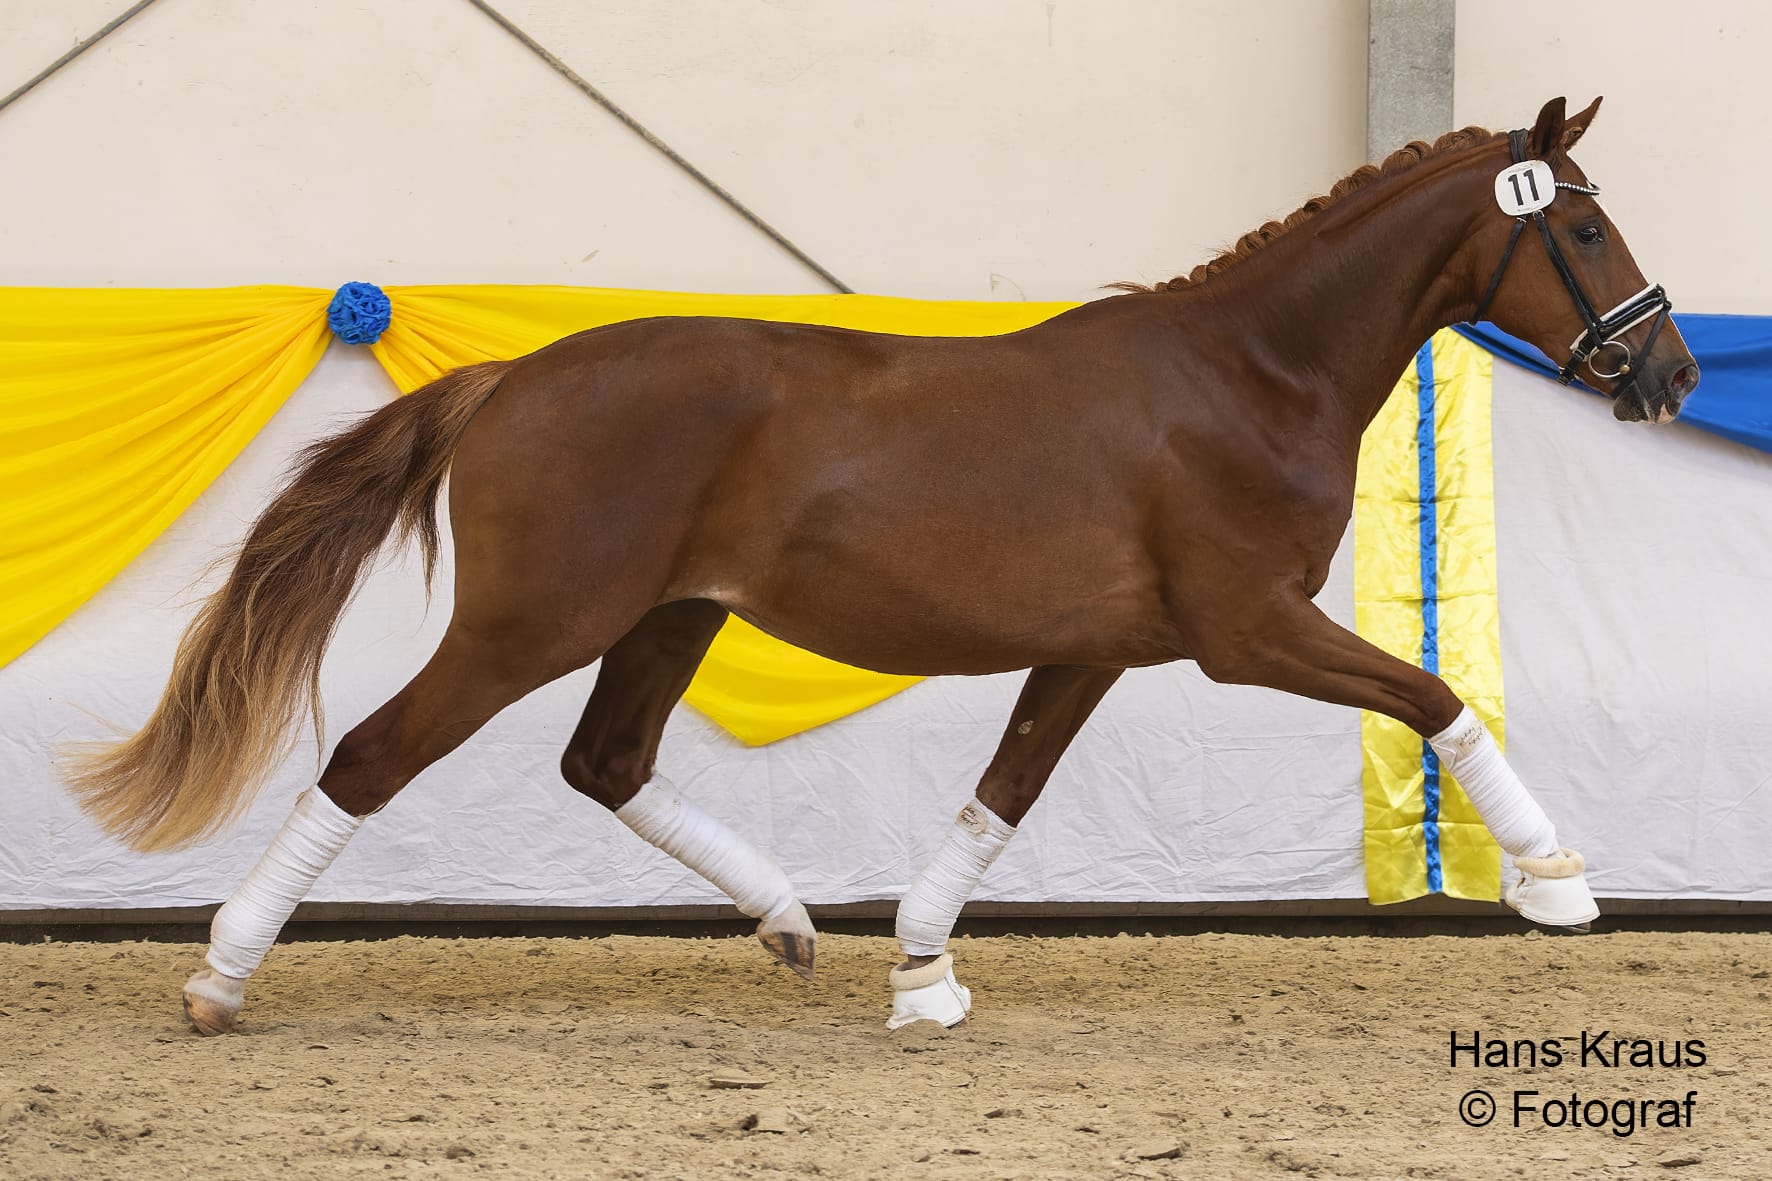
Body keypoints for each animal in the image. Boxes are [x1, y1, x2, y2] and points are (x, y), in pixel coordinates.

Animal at [64, 96, 1698, 1035]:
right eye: (1587, 226)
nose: (1670, 372)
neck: (1248, 375)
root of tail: (512, 380)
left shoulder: (1098, 643)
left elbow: (1002, 793)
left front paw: (920, 973)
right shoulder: (1246, 627)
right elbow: (1434, 695)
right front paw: (1555, 883)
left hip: (666, 619)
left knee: (604, 762)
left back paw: (791, 922)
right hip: (532, 621)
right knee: (370, 754)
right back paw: (219, 976)